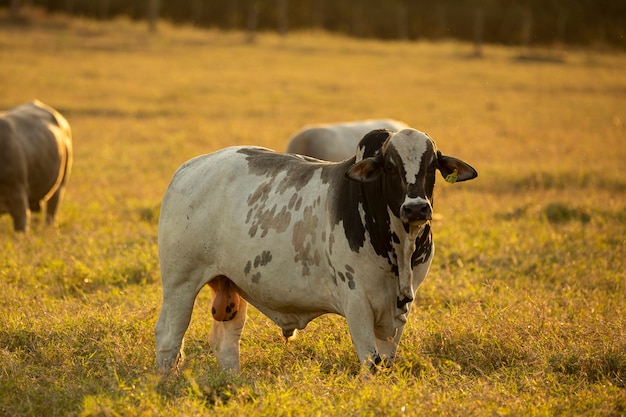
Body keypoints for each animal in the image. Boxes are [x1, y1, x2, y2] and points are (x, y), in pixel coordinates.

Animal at [154, 127, 476, 374]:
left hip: (230, 285)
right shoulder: (357, 302)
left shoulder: (401, 307)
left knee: (226, 342)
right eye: (389, 166)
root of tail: (189, 168)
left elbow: (386, 362)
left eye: (432, 165)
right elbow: (370, 363)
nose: (416, 208)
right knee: (168, 337)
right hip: (180, 284)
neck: (399, 250)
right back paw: (165, 381)